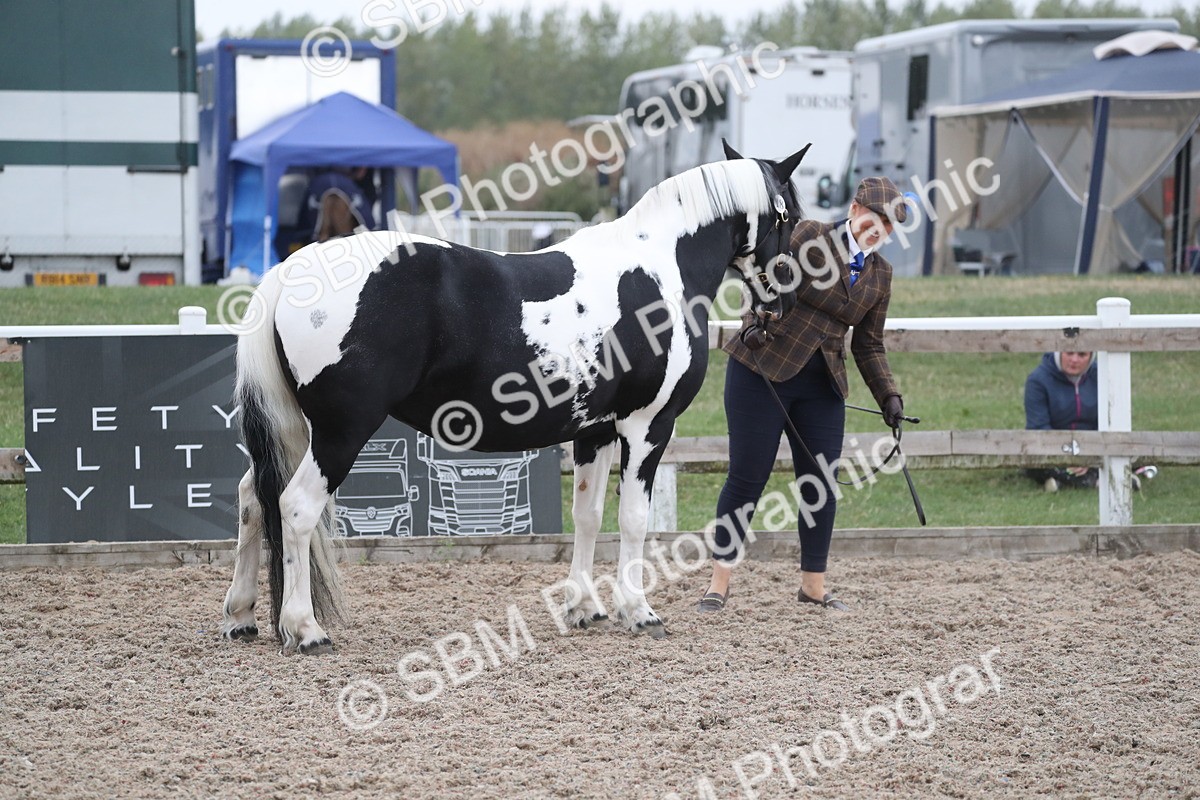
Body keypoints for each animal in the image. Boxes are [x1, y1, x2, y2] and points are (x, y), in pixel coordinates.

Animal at [221, 141, 810, 654]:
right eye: (790, 216)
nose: (782, 304)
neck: (659, 270)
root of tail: (289, 271)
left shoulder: (595, 431)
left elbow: (588, 514)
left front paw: (584, 607)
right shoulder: (648, 427)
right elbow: (634, 520)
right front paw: (639, 612)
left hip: (297, 427)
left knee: (252, 497)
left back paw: (242, 616)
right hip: (341, 431)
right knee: (296, 508)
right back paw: (305, 629)